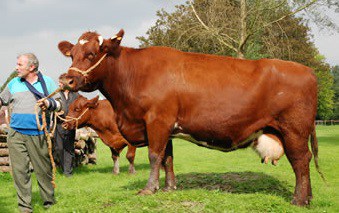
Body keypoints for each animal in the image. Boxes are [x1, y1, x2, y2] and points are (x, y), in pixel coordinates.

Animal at [57, 29, 322, 206]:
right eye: (72, 55)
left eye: (92, 54)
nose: (66, 80)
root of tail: (307, 71)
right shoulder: (167, 127)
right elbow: (167, 159)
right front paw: (169, 188)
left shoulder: (157, 121)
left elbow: (154, 156)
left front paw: (149, 189)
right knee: (305, 160)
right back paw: (308, 196)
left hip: (294, 130)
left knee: (300, 161)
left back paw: (299, 200)